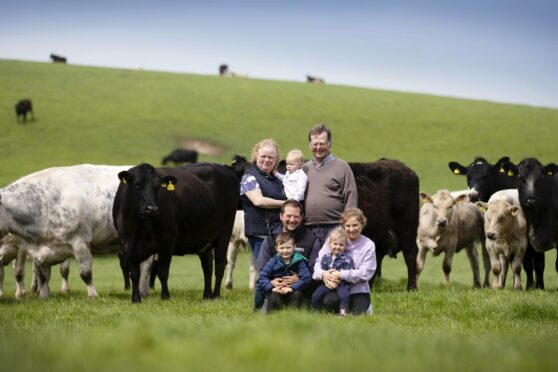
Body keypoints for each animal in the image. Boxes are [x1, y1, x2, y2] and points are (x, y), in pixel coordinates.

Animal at [0, 164, 132, 298]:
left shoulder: (79, 242)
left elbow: (85, 274)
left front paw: (93, 295)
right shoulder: (43, 250)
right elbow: (43, 277)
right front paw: (43, 296)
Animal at [112, 163, 240, 302]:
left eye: (158, 186)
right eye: (137, 185)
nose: (152, 209)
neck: (139, 225)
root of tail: (224, 168)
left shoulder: (167, 240)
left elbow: (162, 272)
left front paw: (165, 296)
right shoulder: (127, 243)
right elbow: (134, 274)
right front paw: (136, 299)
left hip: (225, 232)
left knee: (220, 264)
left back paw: (216, 295)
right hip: (203, 236)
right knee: (207, 265)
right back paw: (207, 296)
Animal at [450, 155, 548, 290]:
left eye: (486, 176)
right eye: (468, 176)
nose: (473, 195)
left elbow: (527, 263)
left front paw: (527, 286)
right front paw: (500, 285)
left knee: (537, 262)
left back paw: (537, 285)